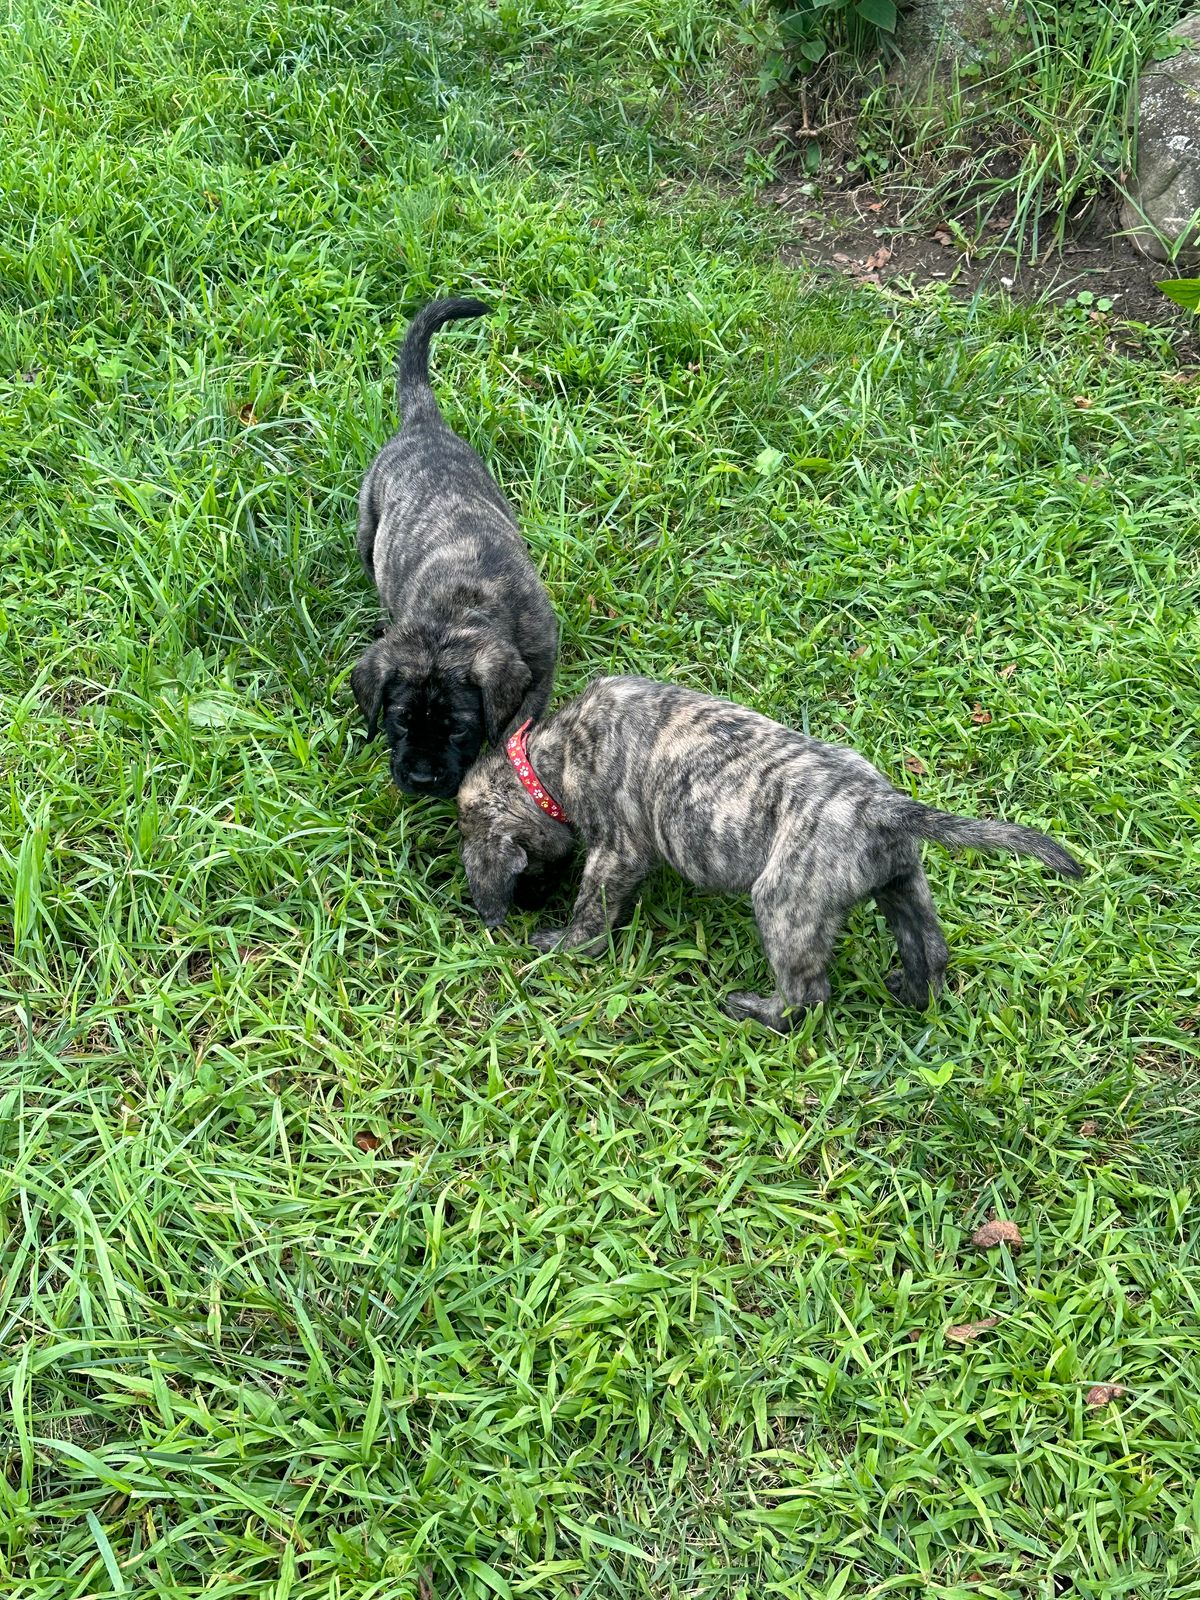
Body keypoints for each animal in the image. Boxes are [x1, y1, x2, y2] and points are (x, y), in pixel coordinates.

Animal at [351, 297, 558, 799]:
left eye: (459, 728)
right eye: (400, 723)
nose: (422, 778)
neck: (462, 606)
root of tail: (422, 423)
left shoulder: (539, 672)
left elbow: (515, 726)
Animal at [456, 676, 1083, 1031]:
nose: (529, 906)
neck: (545, 758)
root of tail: (880, 804)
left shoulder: (616, 852)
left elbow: (592, 910)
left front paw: (560, 942)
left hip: (784, 905)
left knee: (809, 994)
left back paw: (757, 1013)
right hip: (901, 881)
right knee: (928, 946)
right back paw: (911, 993)